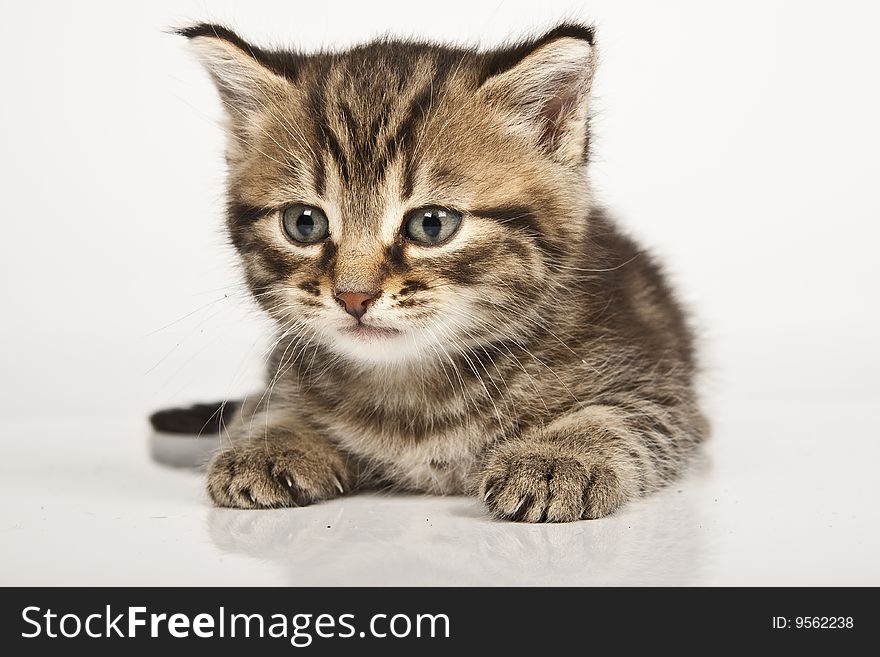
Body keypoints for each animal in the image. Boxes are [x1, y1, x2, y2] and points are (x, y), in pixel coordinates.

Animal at [155, 23, 708, 520]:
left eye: (431, 224)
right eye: (303, 222)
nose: (354, 297)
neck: (413, 388)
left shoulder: (658, 383)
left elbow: (626, 416)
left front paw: (557, 456)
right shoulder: (287, 365)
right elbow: (266, 404)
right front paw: (272, 440)